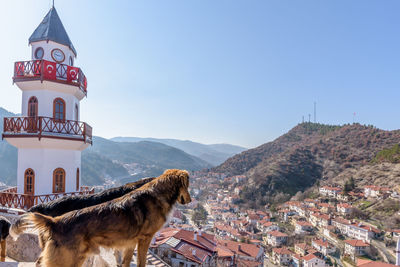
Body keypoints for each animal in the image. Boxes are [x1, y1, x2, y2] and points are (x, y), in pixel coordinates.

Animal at [19, 171, 191, 266]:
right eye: (187, 186)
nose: (189, 200)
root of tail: (53, 221)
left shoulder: (130, 241)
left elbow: (124, 260)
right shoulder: (144, 238)